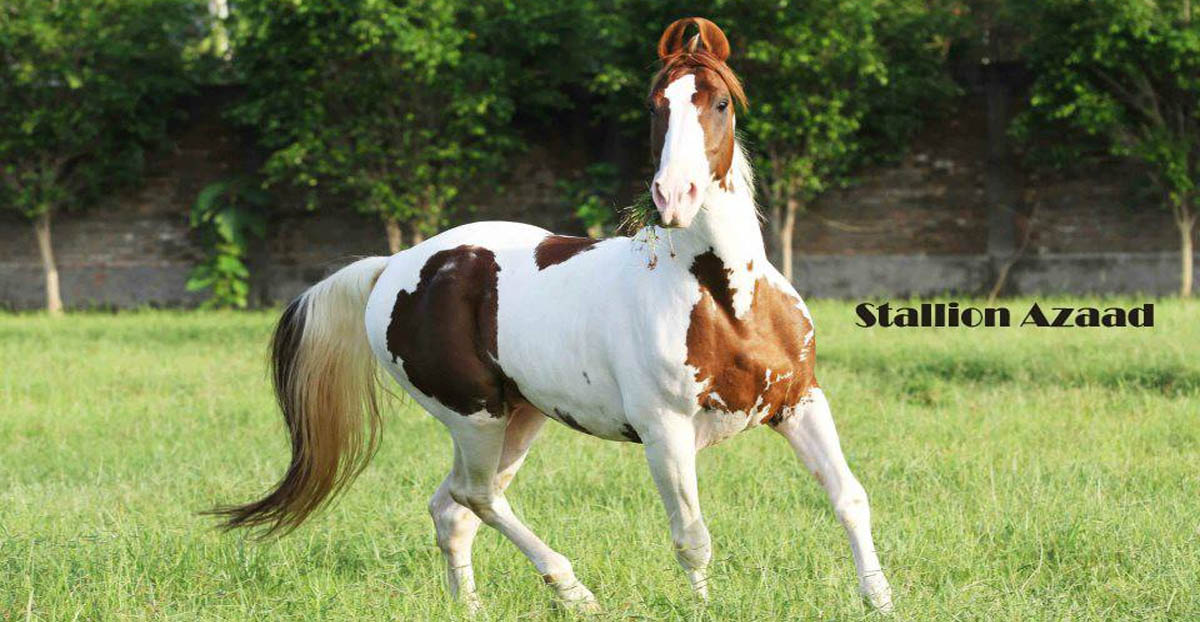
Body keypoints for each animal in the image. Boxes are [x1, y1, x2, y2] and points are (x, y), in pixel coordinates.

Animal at [213, 17, 892, 614]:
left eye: (720, 103)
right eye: (655, 106)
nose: (674, 197)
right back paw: (573, 591)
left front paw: (880, 600)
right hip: (474, 417)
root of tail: (395, 267)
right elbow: (692, 539)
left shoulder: (801, 403)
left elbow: (850, 498)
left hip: (519, 418)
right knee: (475, 497)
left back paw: (473, 607)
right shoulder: (666, 434)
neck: (728, 302)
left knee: (452, 510)